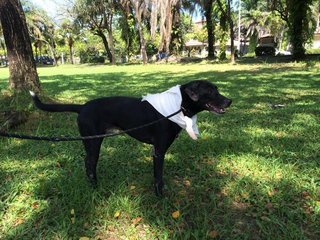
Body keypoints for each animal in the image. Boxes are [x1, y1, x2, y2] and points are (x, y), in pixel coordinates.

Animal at [30, 80, 231, 195]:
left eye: (217, 89)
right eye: (210, 91)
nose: (230, 101)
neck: (178, 106)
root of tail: (82, 107)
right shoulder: (159, 151)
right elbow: (158, 177)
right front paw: (161, 196)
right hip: (93, 142)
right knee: (89, 163)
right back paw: (94, 186)